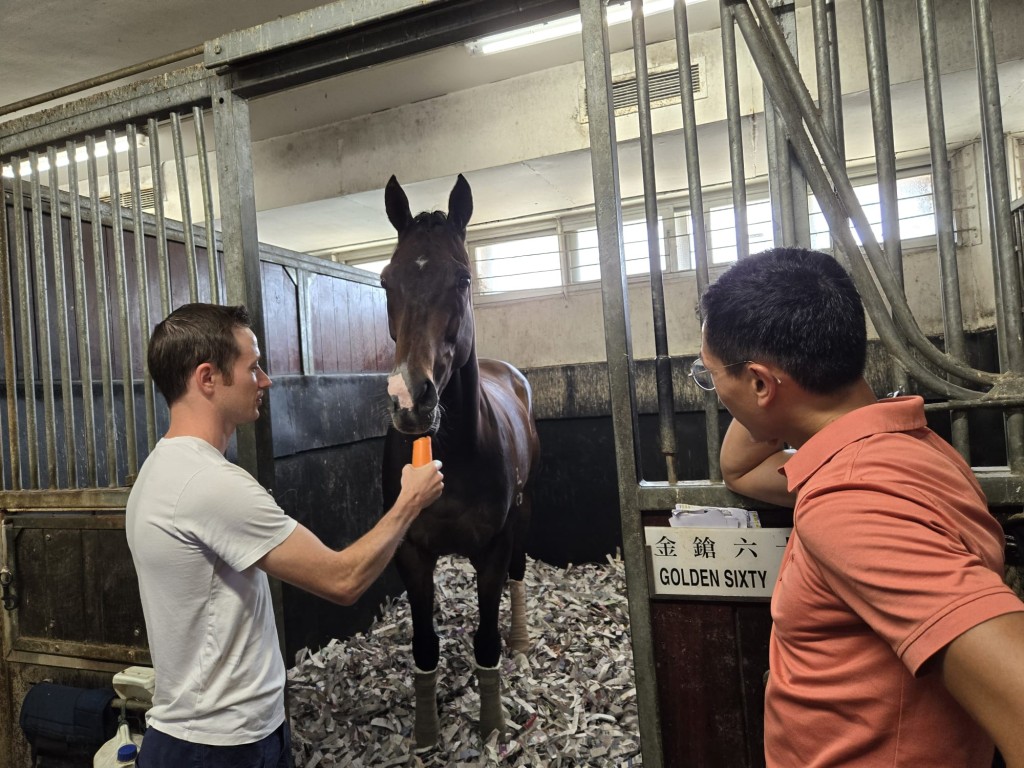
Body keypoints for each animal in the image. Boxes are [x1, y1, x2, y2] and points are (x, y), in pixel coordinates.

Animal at [376, 176, 536, 753]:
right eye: (385, 280)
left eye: (463, 278)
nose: (409, 399)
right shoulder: (411, 551)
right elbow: (425, 645)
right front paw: (425, 736)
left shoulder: (492, 547)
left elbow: (485, 640)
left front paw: (490, 726)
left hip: (522, 516)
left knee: (519, 575)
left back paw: (522, 642)